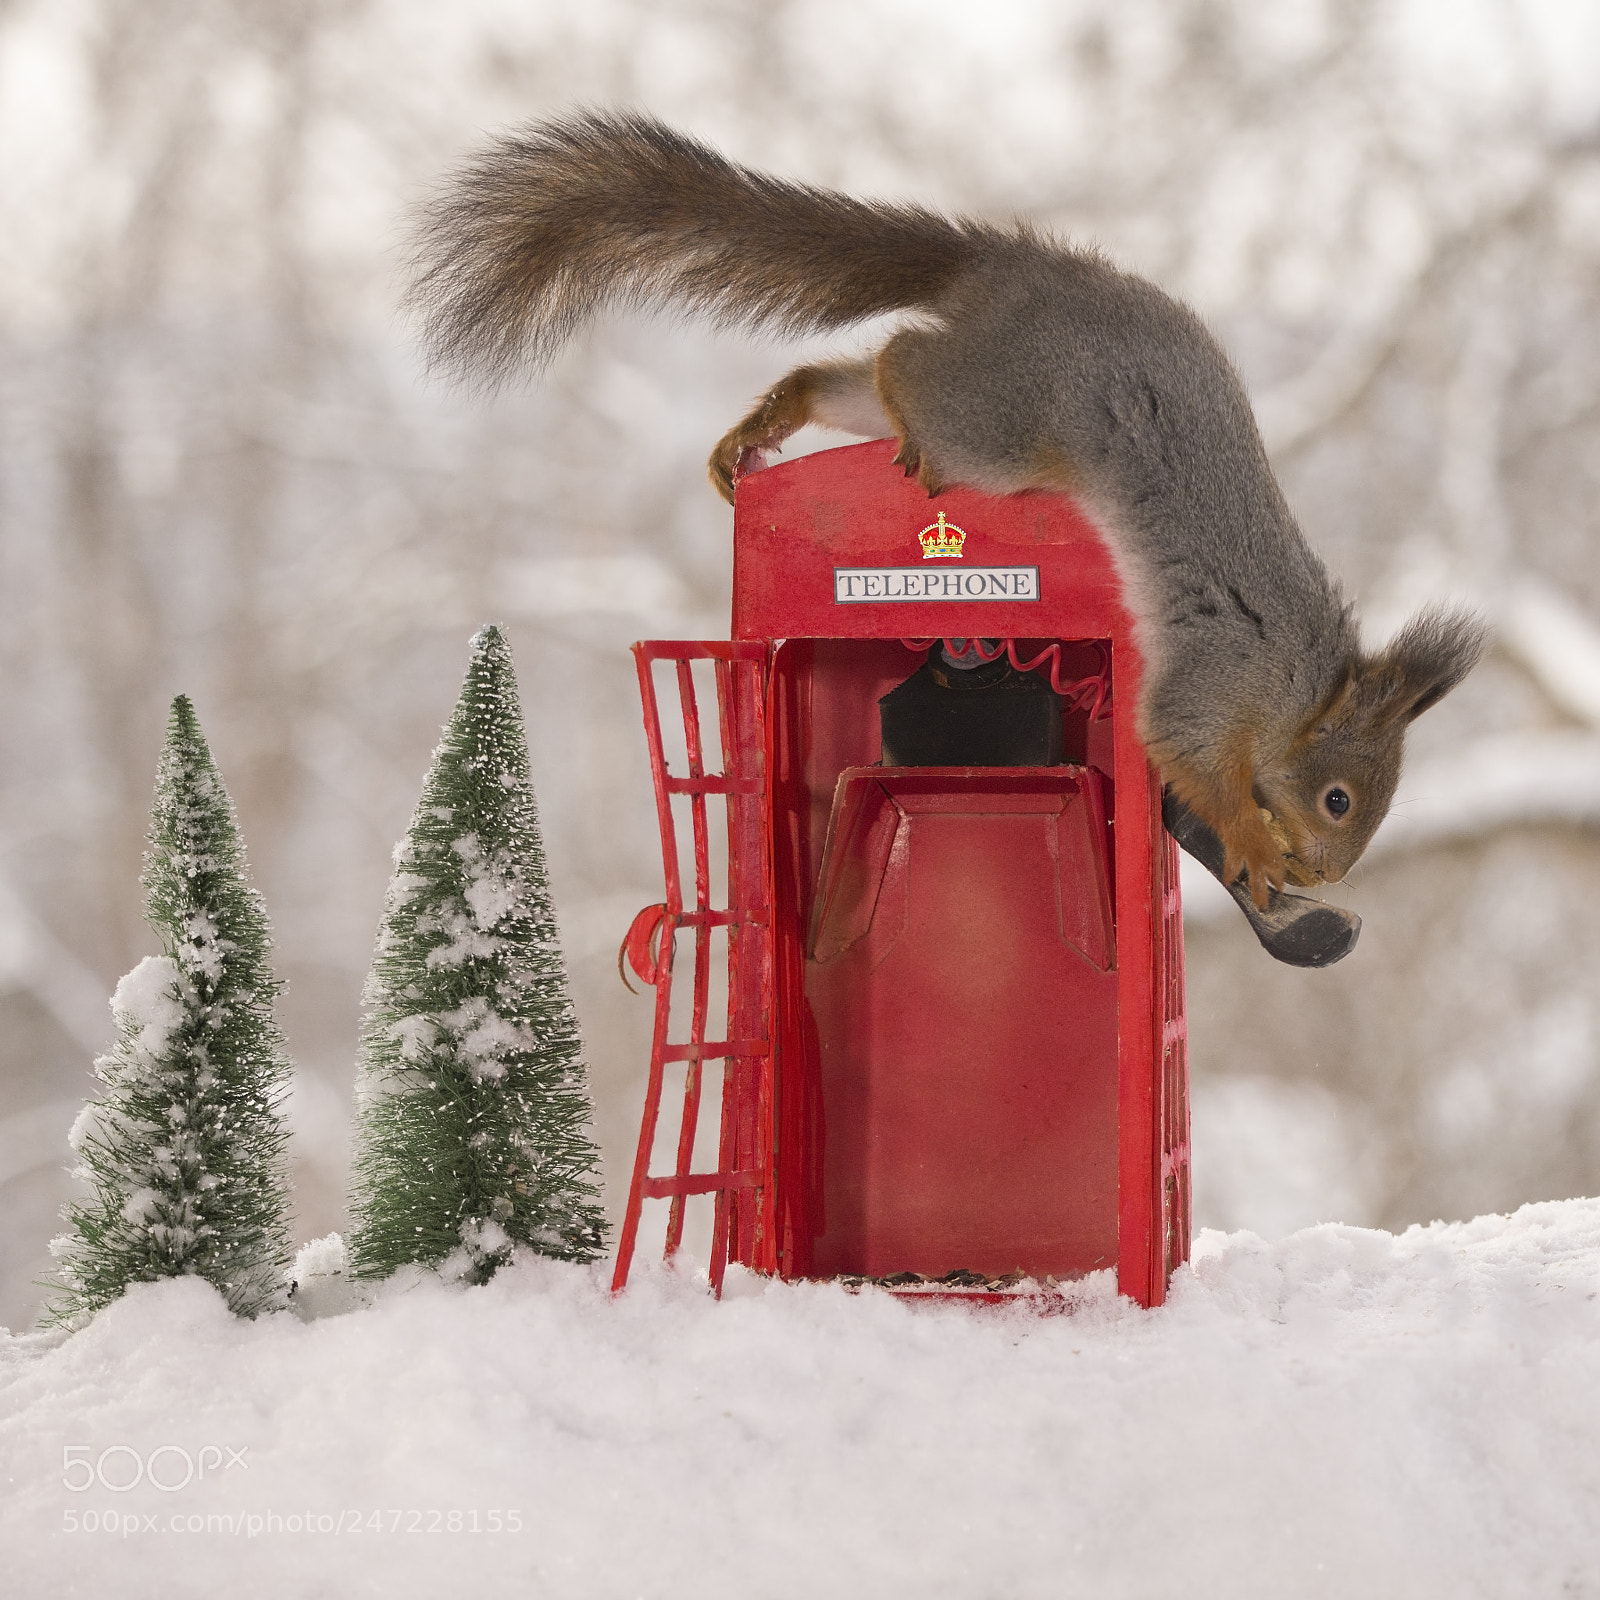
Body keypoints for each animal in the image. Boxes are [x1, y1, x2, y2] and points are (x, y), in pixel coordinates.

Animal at [406, 109, 1488, 908]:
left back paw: (772, 416)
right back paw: (882, 378)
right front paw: (1250, 844)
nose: (1327, 874)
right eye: (1340, 799)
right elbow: (1177, 742)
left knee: (849, 380)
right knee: (903, 357)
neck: (1296, 686)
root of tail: (1004, 272)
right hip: (1002, 424)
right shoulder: (1219, 674)